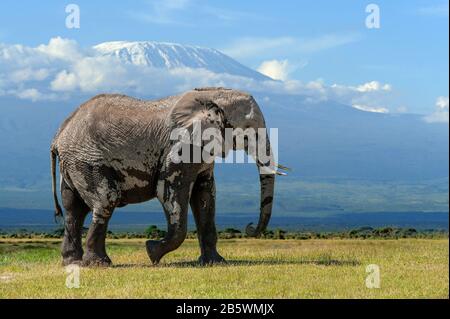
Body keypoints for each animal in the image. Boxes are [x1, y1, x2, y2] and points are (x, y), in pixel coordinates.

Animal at [50, 87, 288, 268]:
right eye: (248, 131)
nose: (249, 227)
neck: (212, 94)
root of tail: (58, 135)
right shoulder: (179, 148)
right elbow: (169, 192)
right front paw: (152, 252)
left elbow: (205, 197)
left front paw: (215, 262)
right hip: (88, 161)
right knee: (105, 200)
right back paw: (99, 264)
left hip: (73, 165)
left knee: (73, 210)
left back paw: (72, 263)